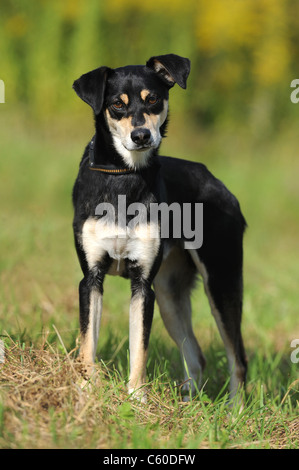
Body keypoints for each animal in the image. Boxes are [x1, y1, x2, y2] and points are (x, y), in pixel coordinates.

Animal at [72, 53, 248, 402]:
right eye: (117, 104)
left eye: (152, 99)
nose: (141, 135)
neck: (123, 177)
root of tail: (219, 185)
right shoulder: (91, 278)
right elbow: (87, 345)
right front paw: (85, 391)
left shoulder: (143, 286)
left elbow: (139, 348)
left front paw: (136, 398)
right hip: (170, 293)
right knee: (196, 356)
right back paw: (189, 401)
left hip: (221, 283)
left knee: (237, 359)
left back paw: (235, 409)